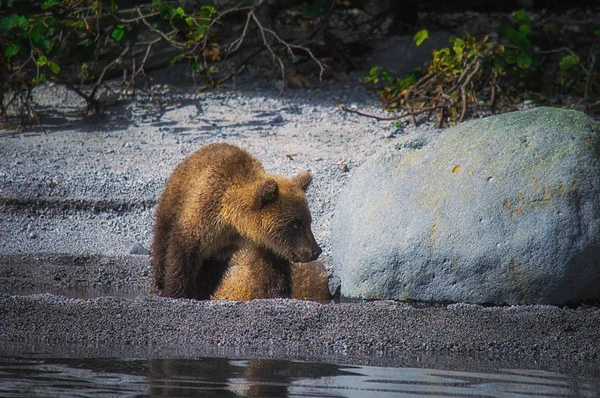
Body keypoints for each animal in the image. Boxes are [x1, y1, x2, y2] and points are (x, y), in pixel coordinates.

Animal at [151, 143, 318, 298]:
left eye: (308, 222)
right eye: (295, 224)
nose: (316, 251)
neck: (233, 223)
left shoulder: (258, 242)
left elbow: (273, 268)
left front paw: (280, 293)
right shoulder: (203, 216)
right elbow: (182, 254)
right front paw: (177, 292)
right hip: (174, 200)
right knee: (162, 239)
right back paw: (160, 280)